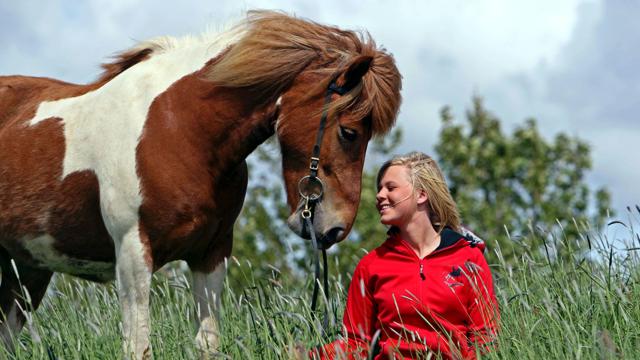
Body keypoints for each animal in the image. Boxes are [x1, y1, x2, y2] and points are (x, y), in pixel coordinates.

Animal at [0, 9, 400, 358]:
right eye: (349, 132)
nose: (334, 228)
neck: (179, 129)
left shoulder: (211, 254)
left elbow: (208, 344)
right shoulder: (132, 254)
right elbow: (138, 347)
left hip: (25, 271)